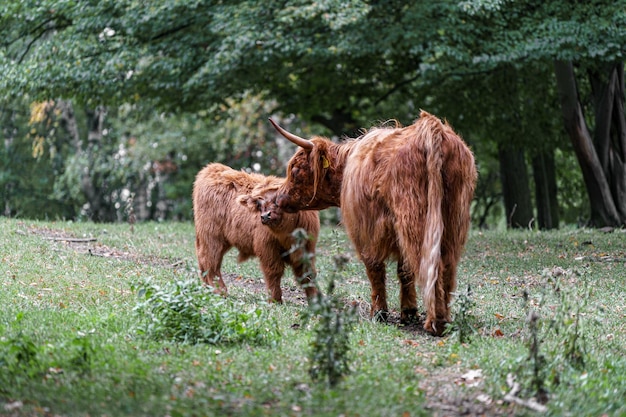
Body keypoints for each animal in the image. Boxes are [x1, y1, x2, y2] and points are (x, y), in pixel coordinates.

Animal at [191, 162, 320, 302]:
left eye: (278, 201)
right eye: (259, 205)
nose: (264, 216)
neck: (287, 234)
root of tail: (212, 169)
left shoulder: (307, 249)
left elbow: (307, 274)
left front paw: (315, 300)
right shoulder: (267, 248)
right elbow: (274, 272)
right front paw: (275, 300)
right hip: (212, 236)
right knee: (210, 261)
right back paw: (220, 291)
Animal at [266, 111, 476, 334]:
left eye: (295, 170)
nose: (278, 198)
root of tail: (430, 126)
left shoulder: (366, 230)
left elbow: (375, 268)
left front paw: (379, 312)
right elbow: (404, 270)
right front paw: (408, 311)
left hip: (415, 219)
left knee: (429, 264)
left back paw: (435, 321)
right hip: (453, 222)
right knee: (446, 266)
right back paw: (445, 318)